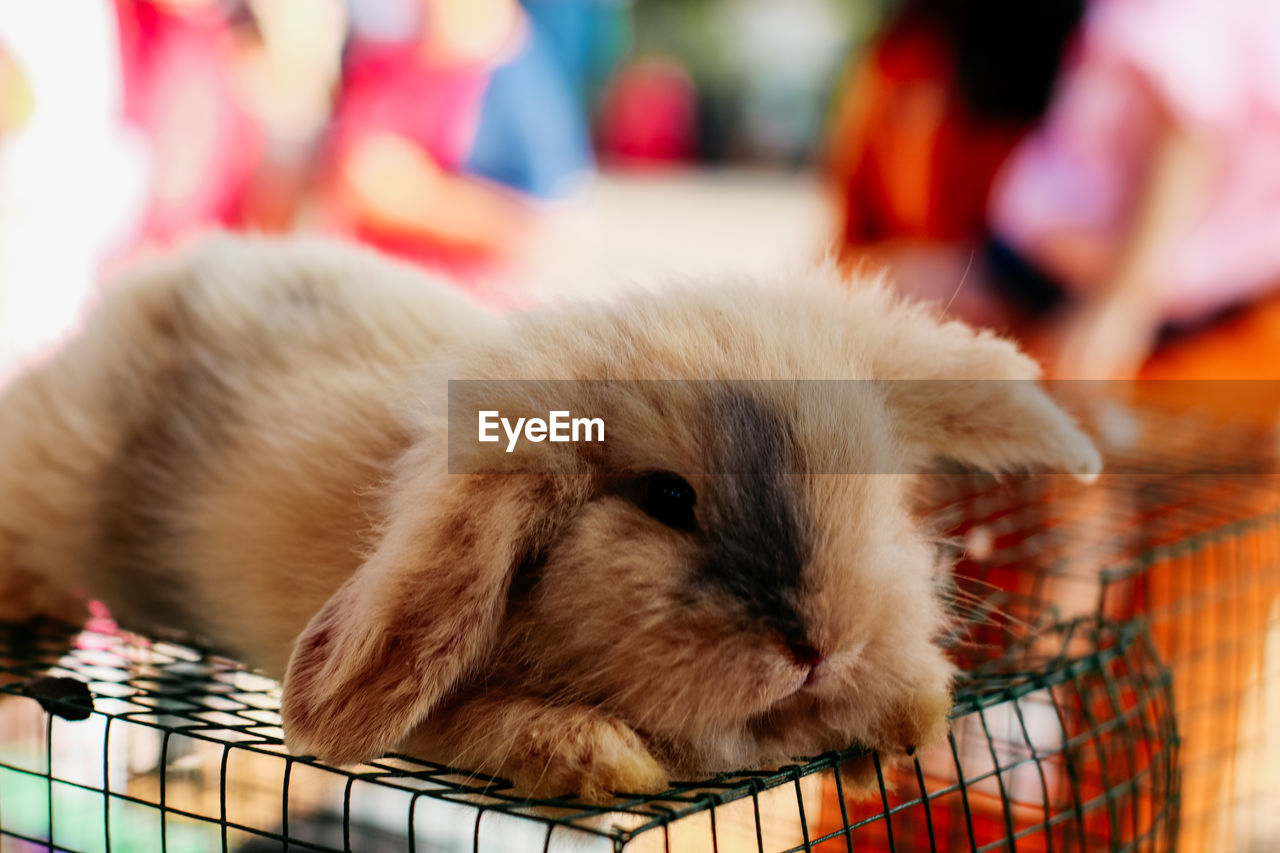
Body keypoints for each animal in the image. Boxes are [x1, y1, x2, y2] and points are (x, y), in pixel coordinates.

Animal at [0, 230, 1100, 799]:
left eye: (867, 481)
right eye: (666, 499)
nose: (820, 645)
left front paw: (911, 709)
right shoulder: (440, 718)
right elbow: (496, 725)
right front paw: (609, 760)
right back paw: (34, 598)